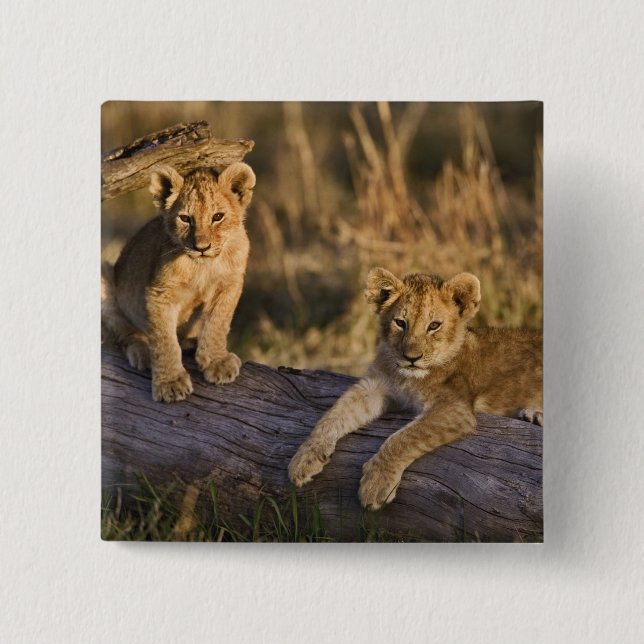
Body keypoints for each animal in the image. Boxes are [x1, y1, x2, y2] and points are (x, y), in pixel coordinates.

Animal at [101, 162, 255, 403]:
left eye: (217, 216)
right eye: (185, 219)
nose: (201, 247)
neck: (203, 266)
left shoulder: (230, 284)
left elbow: (218, 322)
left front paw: (216, 362)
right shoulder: (159, 294)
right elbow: (164, 340)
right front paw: (170, 383)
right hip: (105, 271)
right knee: (125, 331)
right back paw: (144, 353)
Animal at [288, 267, 543, 509]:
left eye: (434, 326)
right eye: (400, 323)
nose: (411, 358)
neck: (408, 378)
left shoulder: (454, 409)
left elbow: (403, 438)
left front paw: (376, 485)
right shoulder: (373, 386)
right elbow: (333, 414)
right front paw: (304, 458)